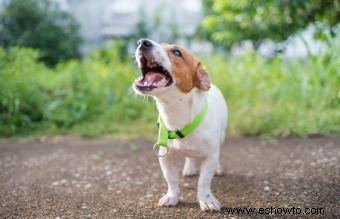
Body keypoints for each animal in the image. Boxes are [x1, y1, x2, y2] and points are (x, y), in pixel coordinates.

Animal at [133, 38, 228, 211]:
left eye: (177, 52)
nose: (142, 42)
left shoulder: (210, 155)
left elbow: (204, 181)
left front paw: (206, 199)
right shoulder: (165, 154)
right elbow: (170, 178)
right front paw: (172, 197)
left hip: (221, 137)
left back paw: (218, 168)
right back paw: (190, 168)